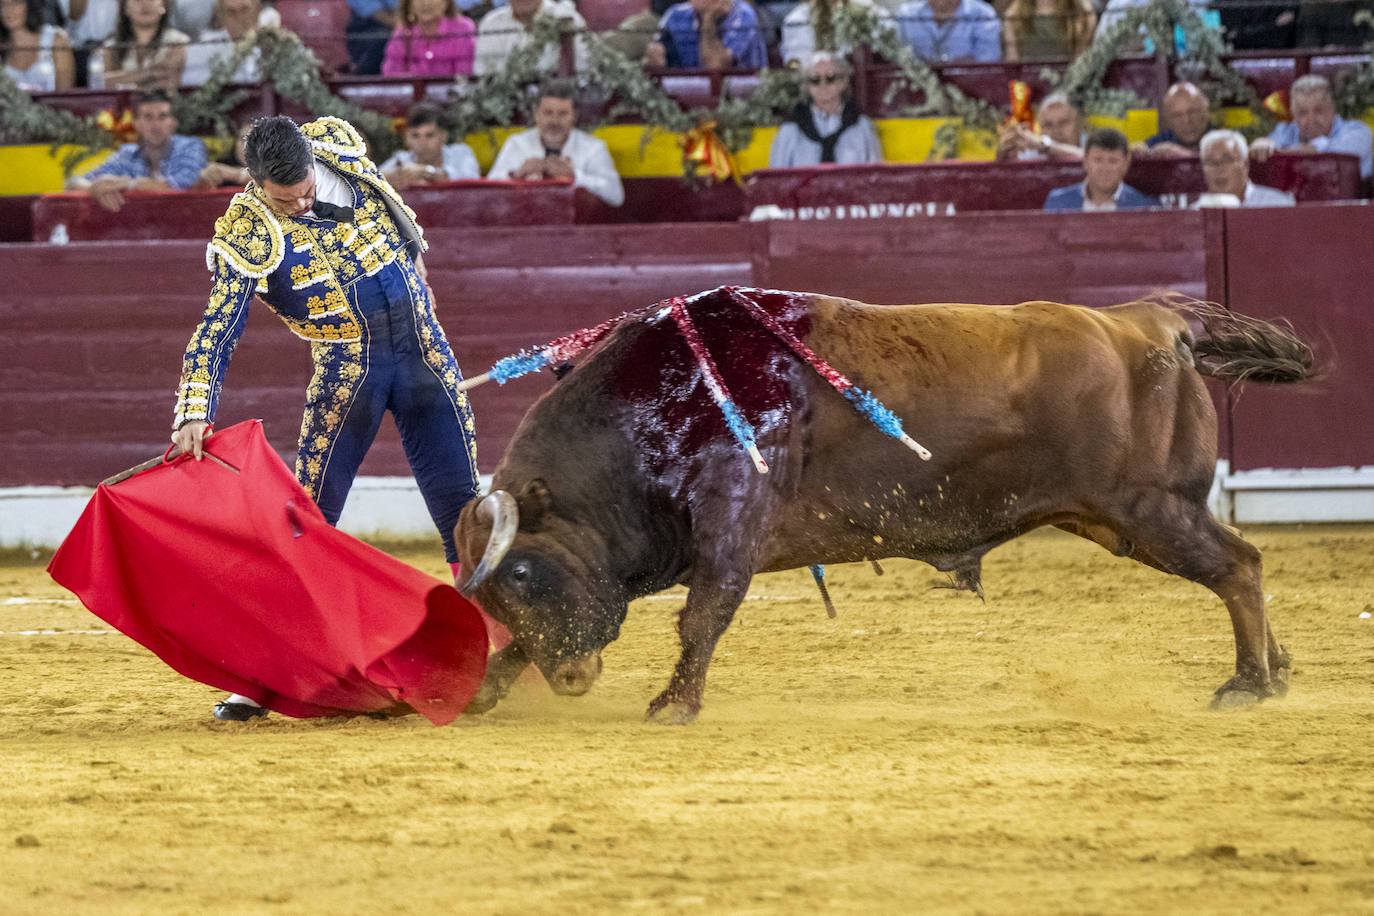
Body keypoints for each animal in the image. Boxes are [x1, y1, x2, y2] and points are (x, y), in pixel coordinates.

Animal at [456, 287, 1313, 725]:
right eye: (492, 589)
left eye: (522, 574)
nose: (573, 679)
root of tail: (1149, 322)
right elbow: (526, 643)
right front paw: (484, 691)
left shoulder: (731, 528)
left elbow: (703, 617)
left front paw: (672, 704)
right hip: (1124, 517)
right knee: (1242, 562)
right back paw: (1275, 671)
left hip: (1148, 508)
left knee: (1239, 565)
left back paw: (1249, 683)